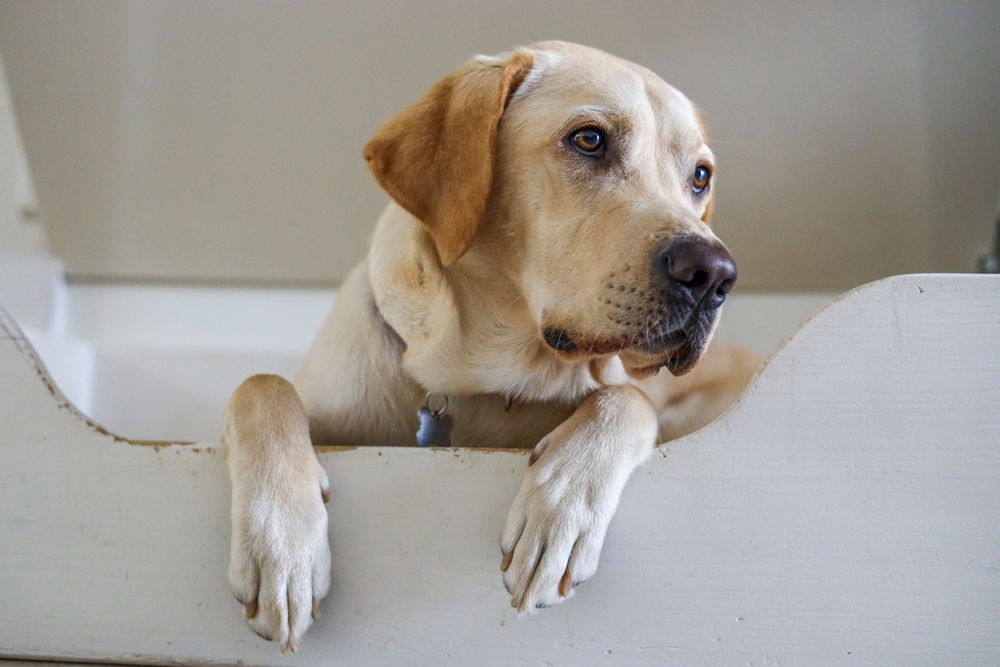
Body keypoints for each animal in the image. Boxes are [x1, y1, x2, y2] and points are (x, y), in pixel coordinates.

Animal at [223, 40, 760, 652]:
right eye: (590, 139)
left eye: (700, 176)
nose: (715, 274)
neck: (484, 379)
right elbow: (262, 384)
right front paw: (281, 545)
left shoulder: (627, 396)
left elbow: (626, 398)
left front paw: (561, 509)